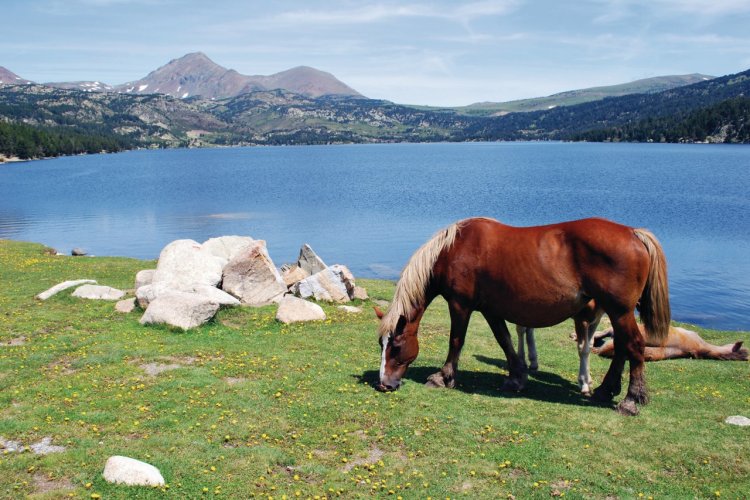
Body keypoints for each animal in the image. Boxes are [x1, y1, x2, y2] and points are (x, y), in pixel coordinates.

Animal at [378, 217, 672, 416]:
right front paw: (517, 377)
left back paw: (630, 399)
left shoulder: (460, 305)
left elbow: (456, 341)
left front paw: (443, 377)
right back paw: (604, 389)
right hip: (617, 312)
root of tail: (633, 233)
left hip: (619, 311)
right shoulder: (490, 309)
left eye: (396, 347)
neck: (454, 249)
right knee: (622, 347)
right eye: (381, 345)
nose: (384, 384)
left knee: (633, 346)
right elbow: (505, 340)